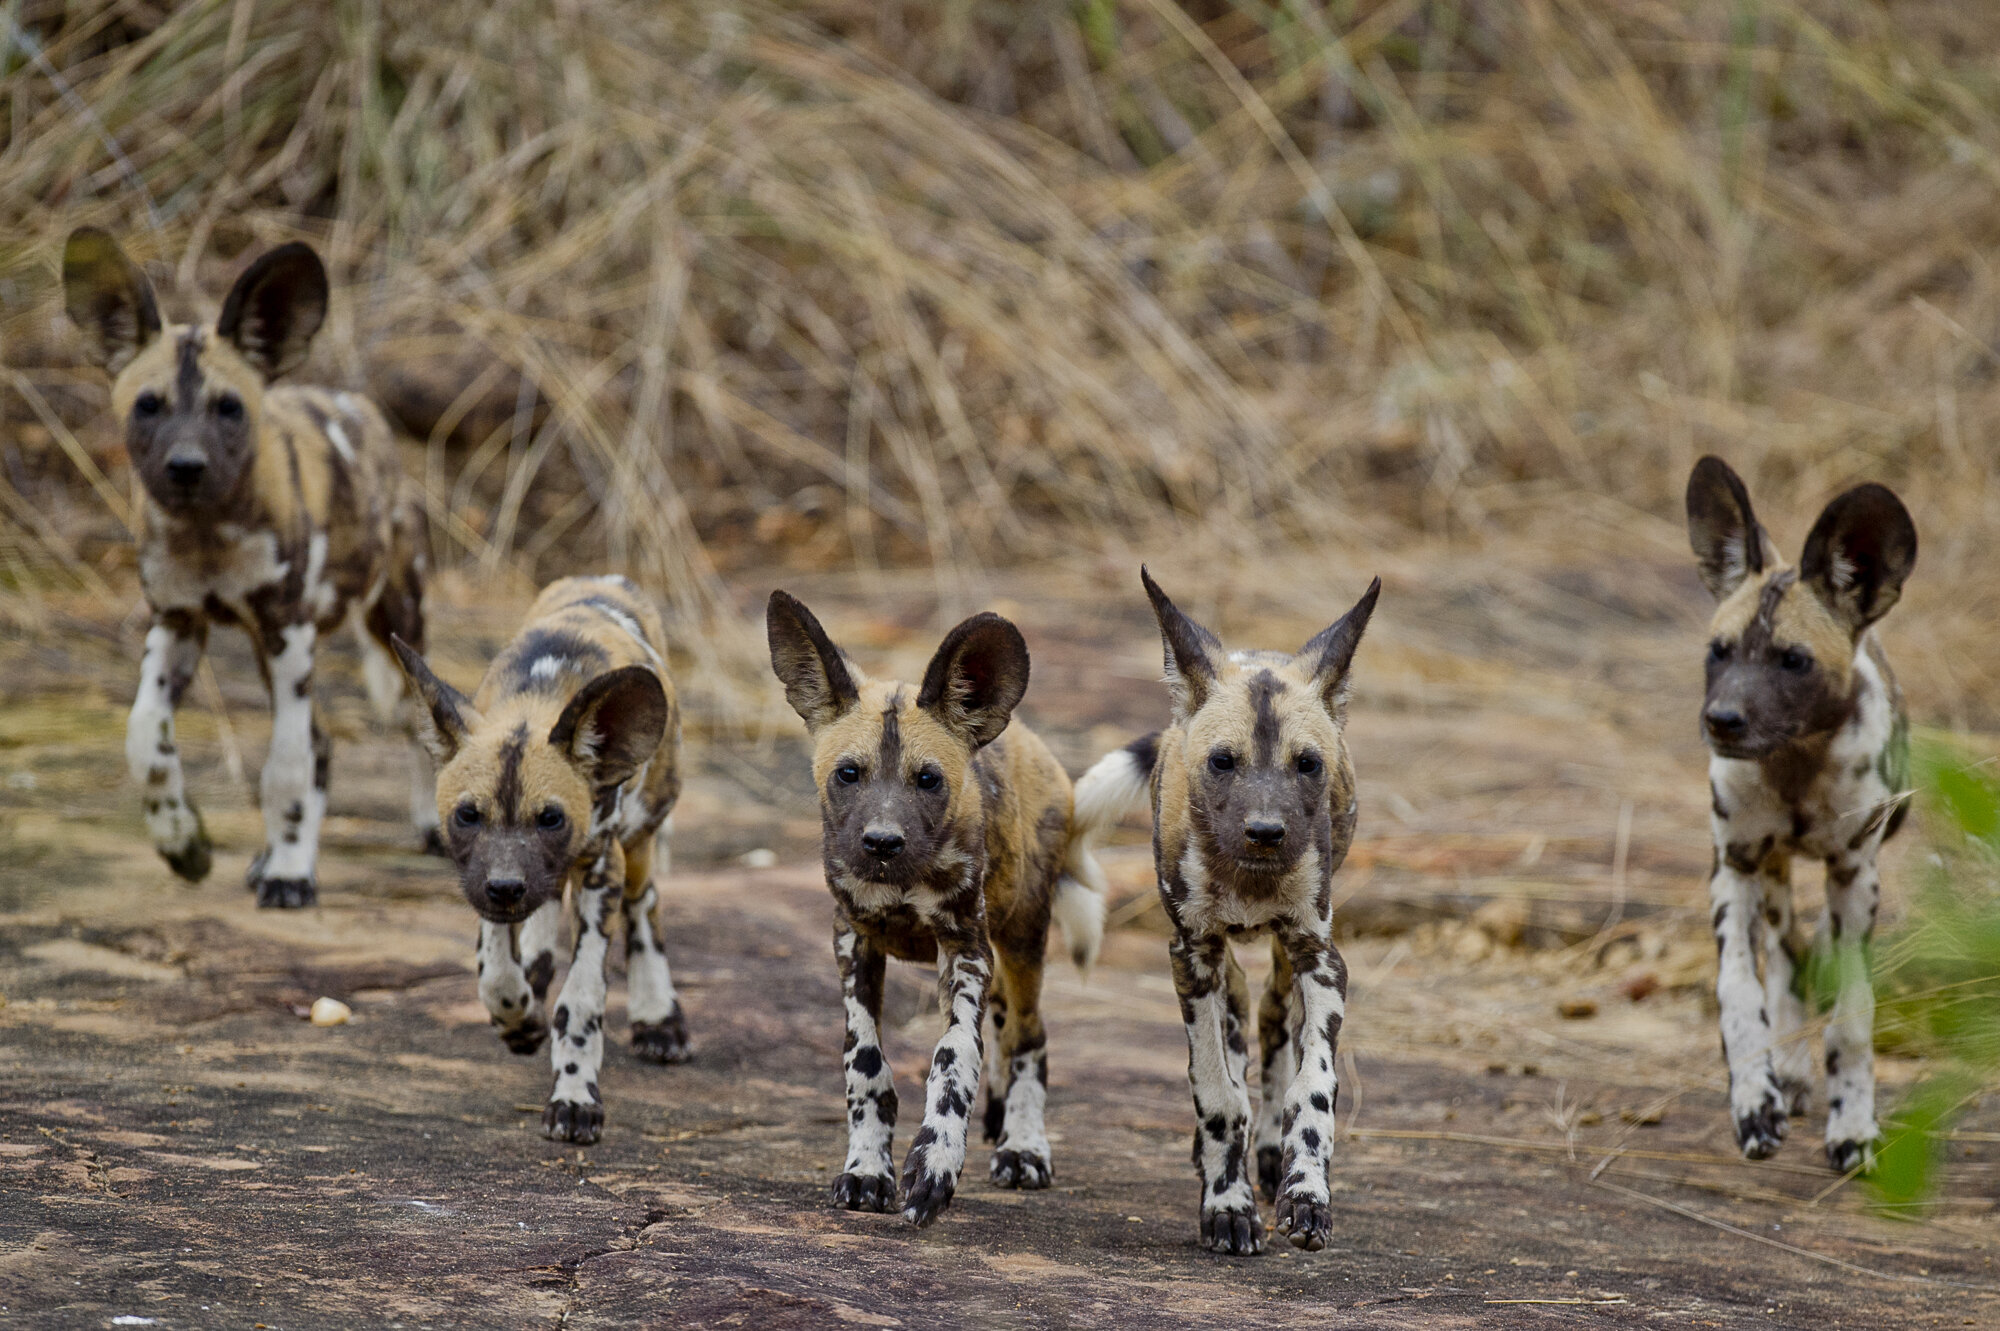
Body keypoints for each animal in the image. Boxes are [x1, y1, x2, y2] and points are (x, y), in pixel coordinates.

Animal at [62, 232, 434, 907]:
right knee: (322, 742)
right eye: (148, 406)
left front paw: (289, 875)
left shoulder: (287, 632)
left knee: (405, 725)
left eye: (228, 408)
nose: (186, 466)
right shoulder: (177, 626)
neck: (209, 534)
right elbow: (145, 738)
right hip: (275, 654)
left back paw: (425, 828)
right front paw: (183, 843)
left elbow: (284, 767)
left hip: (393, 625)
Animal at [388, 571, 688, 1143]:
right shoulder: (482, 881)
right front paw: (518, 1018)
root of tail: (604, 578)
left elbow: (581, 1001)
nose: (507, 887)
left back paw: (659, 1017)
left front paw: (575, 1097)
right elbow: (495, 975)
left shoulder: (600, 868)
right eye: (467, 815)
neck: (537, 699)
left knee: (644, 904)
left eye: (551, 818)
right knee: (544, 914)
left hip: (638, 841)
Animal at [764, 591, 1128, 1223]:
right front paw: (867, 1169)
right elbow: (865, 1062)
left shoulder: (964, 949)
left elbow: (954, 1057)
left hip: (1022, 942)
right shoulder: (853, 938)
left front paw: (935, 1163)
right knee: (1005, 1028)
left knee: (1029, 1038)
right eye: (848, 774)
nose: (882, 842)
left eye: (928, 780)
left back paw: (1023, 1147)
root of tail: (1029, 738)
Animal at [1080, 563, 1376, 1247]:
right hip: (1217, 960)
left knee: (1269, 1021)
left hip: (1286, 955)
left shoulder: (1320, 955)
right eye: (1222, 762)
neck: (1250, 880)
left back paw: (1268, 1151)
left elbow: (1312, 1087)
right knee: (1235, 1027)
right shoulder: (1192, 955)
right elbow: (1216, 1091)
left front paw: (1306, 1194)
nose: (1265, 831)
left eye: (1308, 764)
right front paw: (1227, 1204)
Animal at [1688, 459, 1920, 1175]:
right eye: (1719, 651)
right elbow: (1740, 994)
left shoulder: (1853, 874)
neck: (1794, 767)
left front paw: (1853, 1125)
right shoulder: (1734, 867)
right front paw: (1754, 1099)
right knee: (1786, 950)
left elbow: (1852, 1016)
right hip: (1768, 875)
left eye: (1793, 661)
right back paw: (1785, 1069)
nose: (1722, 721)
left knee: (1811, 952)